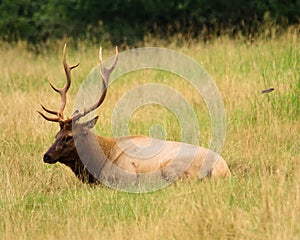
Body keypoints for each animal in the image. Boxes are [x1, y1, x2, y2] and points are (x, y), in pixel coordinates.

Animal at [37, 44, 230, 188]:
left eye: (69, 137)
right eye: (56, 135)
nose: (46, 156)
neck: (99, 163)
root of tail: (223, 170)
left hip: (174, 169)